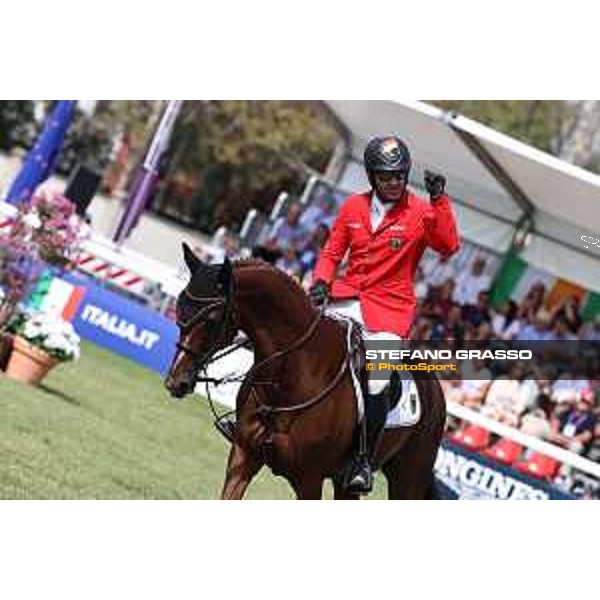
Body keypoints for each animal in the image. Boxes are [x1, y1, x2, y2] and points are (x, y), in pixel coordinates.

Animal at [164, 245, 446, 502]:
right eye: (180, 308)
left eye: (211, 319)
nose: (175, 381)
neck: (291, 377)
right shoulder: (243, 458)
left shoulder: (309, 480)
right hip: (345, 483)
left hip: (408, 479)